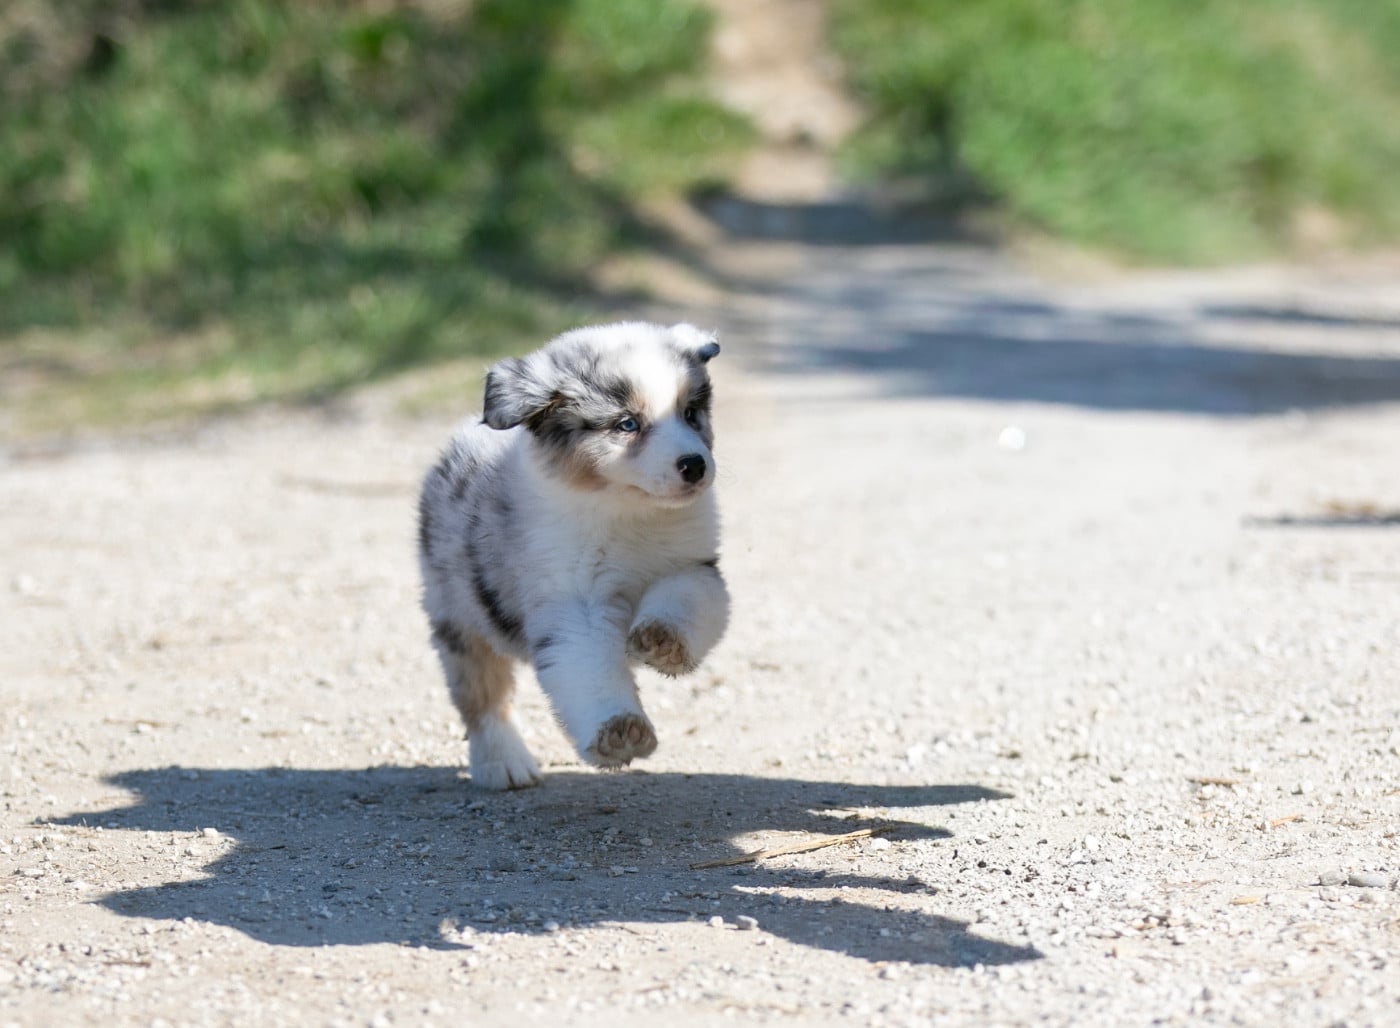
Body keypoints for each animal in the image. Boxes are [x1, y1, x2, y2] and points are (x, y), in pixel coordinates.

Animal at [417, 322, 730, 789]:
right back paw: (503, 764)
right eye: (626, 424)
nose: (694, 465)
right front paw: (620, 733)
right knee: (482, 696)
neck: (626, 511)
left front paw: (661, 642)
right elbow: (590, 670)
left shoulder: (693, 567)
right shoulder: (575, 603)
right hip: (460, 616)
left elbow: (683, 602)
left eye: (691, 413)